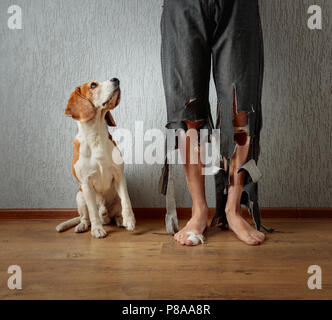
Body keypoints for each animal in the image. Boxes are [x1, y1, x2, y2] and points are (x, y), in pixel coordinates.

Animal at [55, 78, 135, 238]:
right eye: (93, 85)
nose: (116, 79)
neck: (96, 136)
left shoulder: (119, 175)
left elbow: (126, 201)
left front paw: (129, 220)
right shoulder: (86, 183)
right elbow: (92, 211)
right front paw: (97, 229)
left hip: (115, 198)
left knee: (116, 211)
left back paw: (120, 220)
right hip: (80, 196)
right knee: (85, 217)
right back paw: (83, 225)